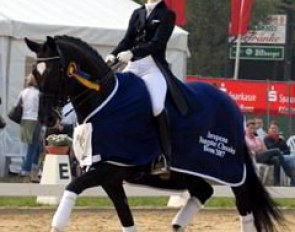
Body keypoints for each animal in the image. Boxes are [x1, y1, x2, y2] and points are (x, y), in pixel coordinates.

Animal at [26, 36, 286, 232]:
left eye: (55, 71)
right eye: (35, 73)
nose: (47, 119)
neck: (105, 103)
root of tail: (232, 105)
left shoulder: (111, 167)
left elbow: (72, 189)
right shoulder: (110, 177)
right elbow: (126, 219)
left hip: (229, 171)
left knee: (244, 208)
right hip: (188, 171)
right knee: (204, 192)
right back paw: (177, 224)